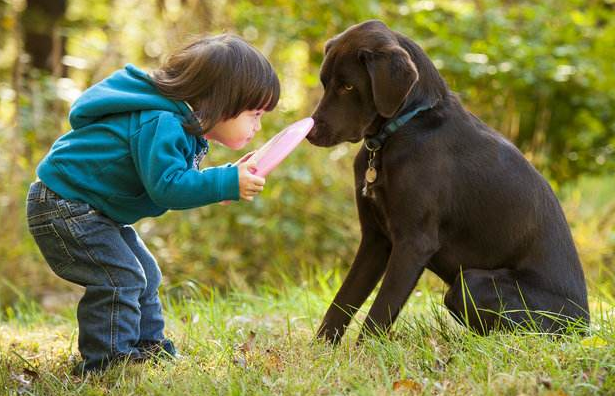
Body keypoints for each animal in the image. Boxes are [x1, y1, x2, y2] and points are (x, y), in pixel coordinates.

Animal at [310, 20, 588, 342]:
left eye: (348, 86)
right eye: (325, 83)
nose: (310, 133)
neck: (405, 126)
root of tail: (584, 324)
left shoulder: (414, 243)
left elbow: (378, 314)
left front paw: (363, 352)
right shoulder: (375, 238)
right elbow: (342, 302)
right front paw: (321, 350)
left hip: (472, 284)